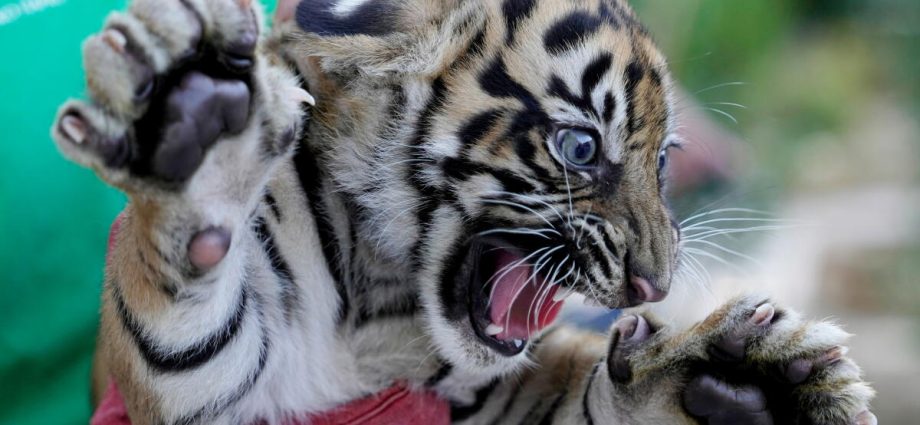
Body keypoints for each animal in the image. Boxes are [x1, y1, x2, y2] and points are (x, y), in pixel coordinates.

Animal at [50, 0, 877, 424]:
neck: (378, 302)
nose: (656, 286)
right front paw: (197, 124)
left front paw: (739, 379)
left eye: (665, 160)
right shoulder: (196, 388)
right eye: (581, 147)